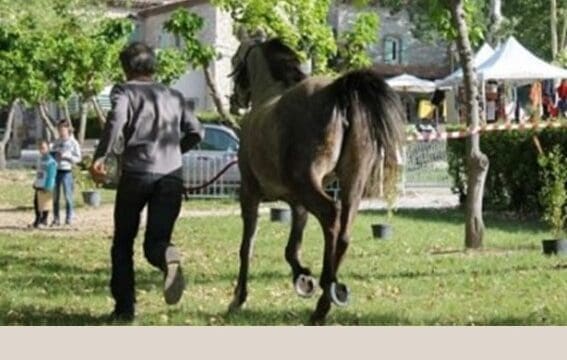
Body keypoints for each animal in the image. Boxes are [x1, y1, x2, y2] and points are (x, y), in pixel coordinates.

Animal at [226, 38, 404, 324]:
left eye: (235, 60)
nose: (234, 100)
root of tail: (336, 91)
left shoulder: (249, 194)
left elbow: (247, 247)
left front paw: (238, 298)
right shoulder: (297, 203)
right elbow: (291, 248)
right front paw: (303, 279)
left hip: (311, 186)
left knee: (331, 216)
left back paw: (327, 289)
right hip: (351, 183)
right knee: (343, 232)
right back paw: (327, 299)